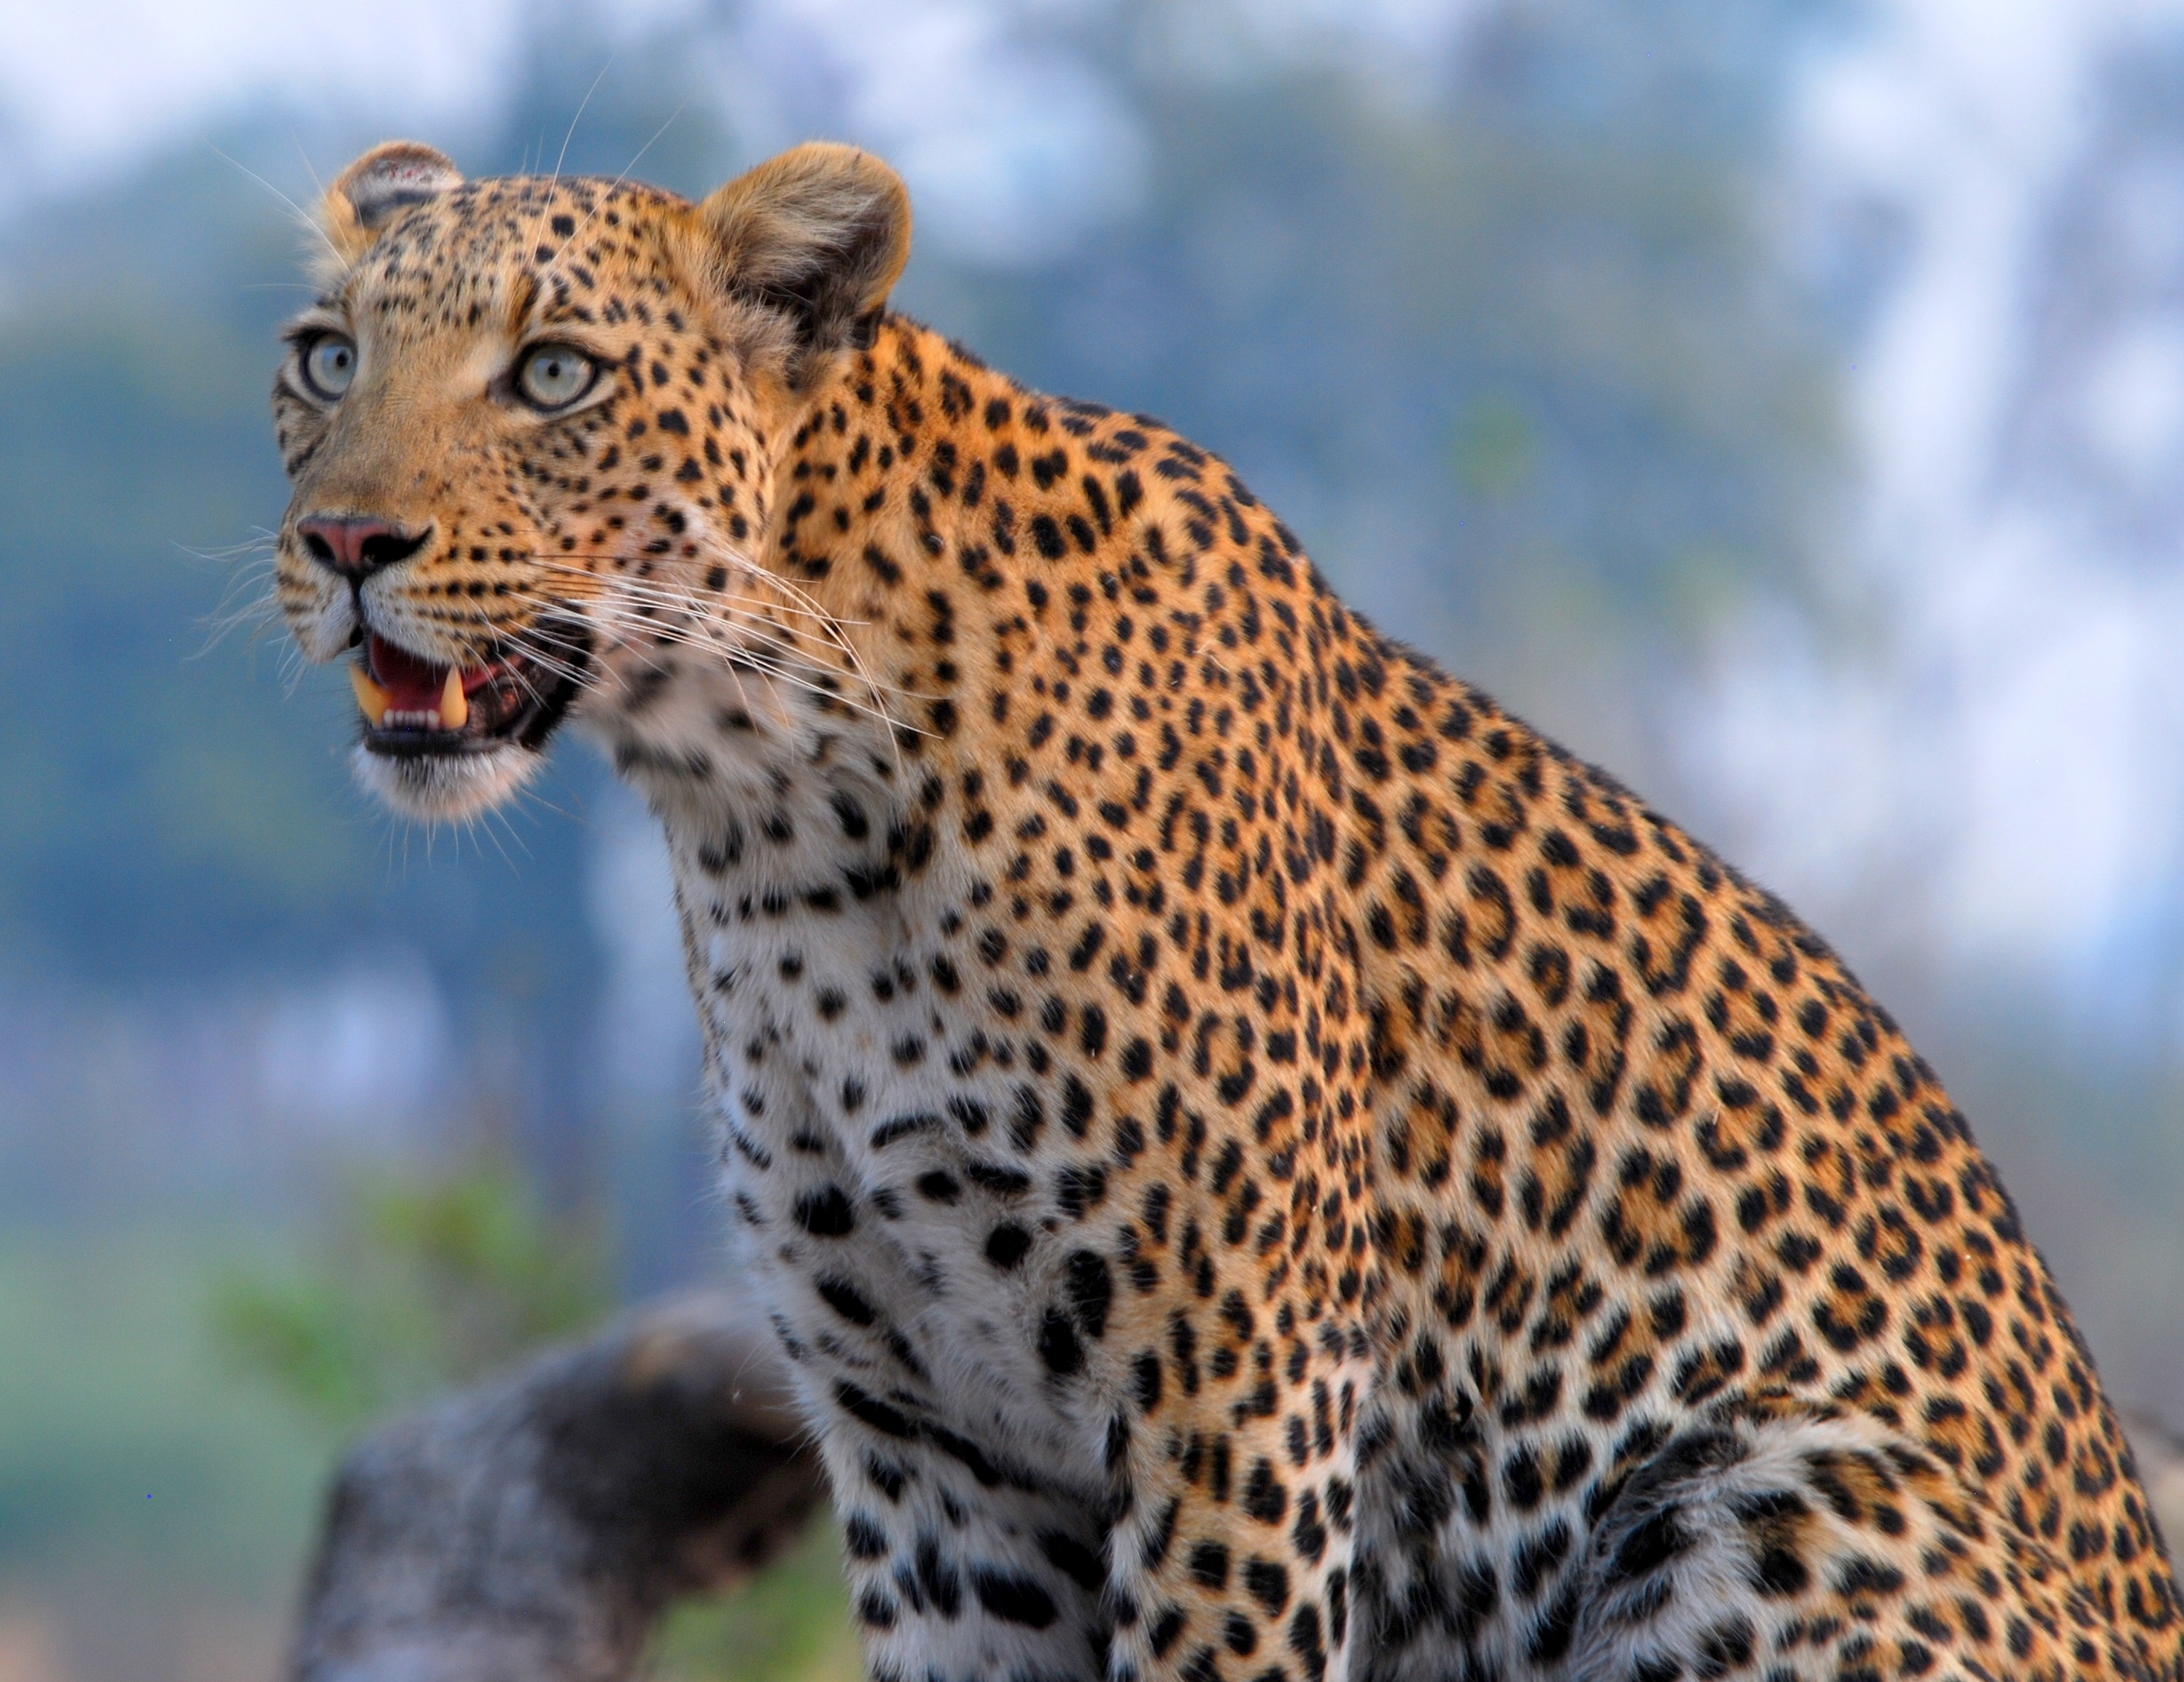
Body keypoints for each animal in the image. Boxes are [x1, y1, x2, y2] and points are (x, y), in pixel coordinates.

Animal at [267, 137, 2184, 1682]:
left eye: (554, 374)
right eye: (327, 357)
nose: (345, 542)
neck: (777, 827)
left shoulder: (1234, 1372)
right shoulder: (922, 1439)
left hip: (1770, 1485)